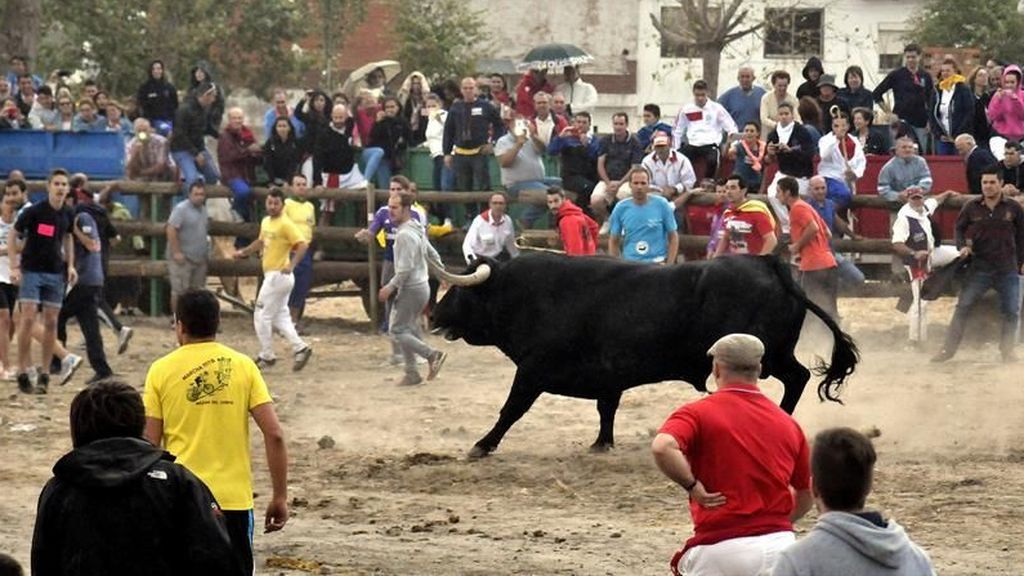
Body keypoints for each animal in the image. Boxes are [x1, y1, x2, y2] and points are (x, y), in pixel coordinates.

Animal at [428, 252, 860, 457]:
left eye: (461, 291)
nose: (432, 314)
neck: (527, 295)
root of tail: (768, 263)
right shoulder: (609, 376)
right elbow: (606, 409)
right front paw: (602, 443)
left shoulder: (532, 371)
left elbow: (511, 409)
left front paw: (482, 445)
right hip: (775, 353)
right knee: (798, 377)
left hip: (766, 356)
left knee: (797, 378)